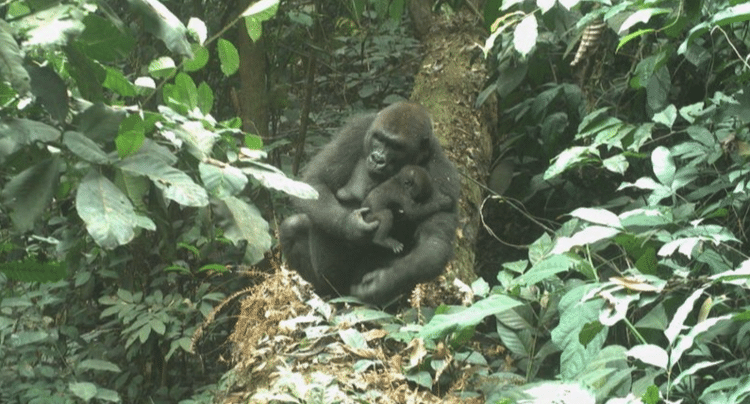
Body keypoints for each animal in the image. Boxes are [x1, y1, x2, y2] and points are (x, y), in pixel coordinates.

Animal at [280, 101, 462, 304]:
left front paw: (380, 285)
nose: (377, 158)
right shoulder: (356, 130)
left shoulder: (443, 174)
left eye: (396, 146)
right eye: (379, 138)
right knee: (293, 227)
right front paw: (351, 226)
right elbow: (315, 183)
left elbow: (433, 245)